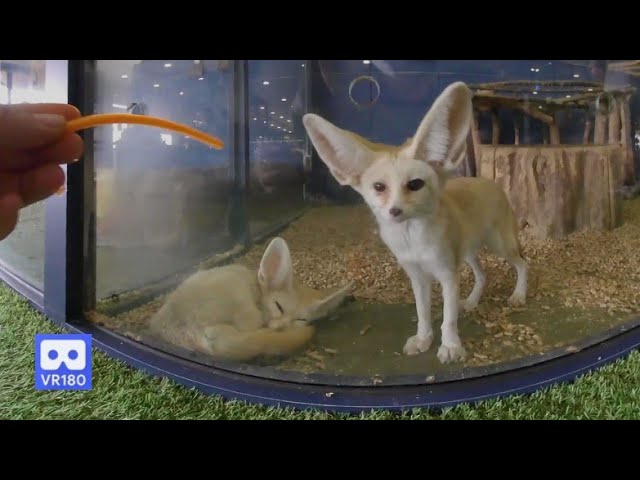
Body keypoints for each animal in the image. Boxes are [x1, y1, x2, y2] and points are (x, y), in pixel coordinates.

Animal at [302, 81, 527, 364]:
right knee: (483, 274)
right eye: (379, 187)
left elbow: (448, 318)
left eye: (415, 184)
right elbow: (422, 313)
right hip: (467, 253)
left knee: (523, 264)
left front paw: (450, 346)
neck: (413, 242)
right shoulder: (418, 276)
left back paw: (519, 295)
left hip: (500, 246)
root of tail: (488, 181)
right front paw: (423, 339)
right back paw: (473, 300)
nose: (394, 211)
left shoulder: (447, 275)